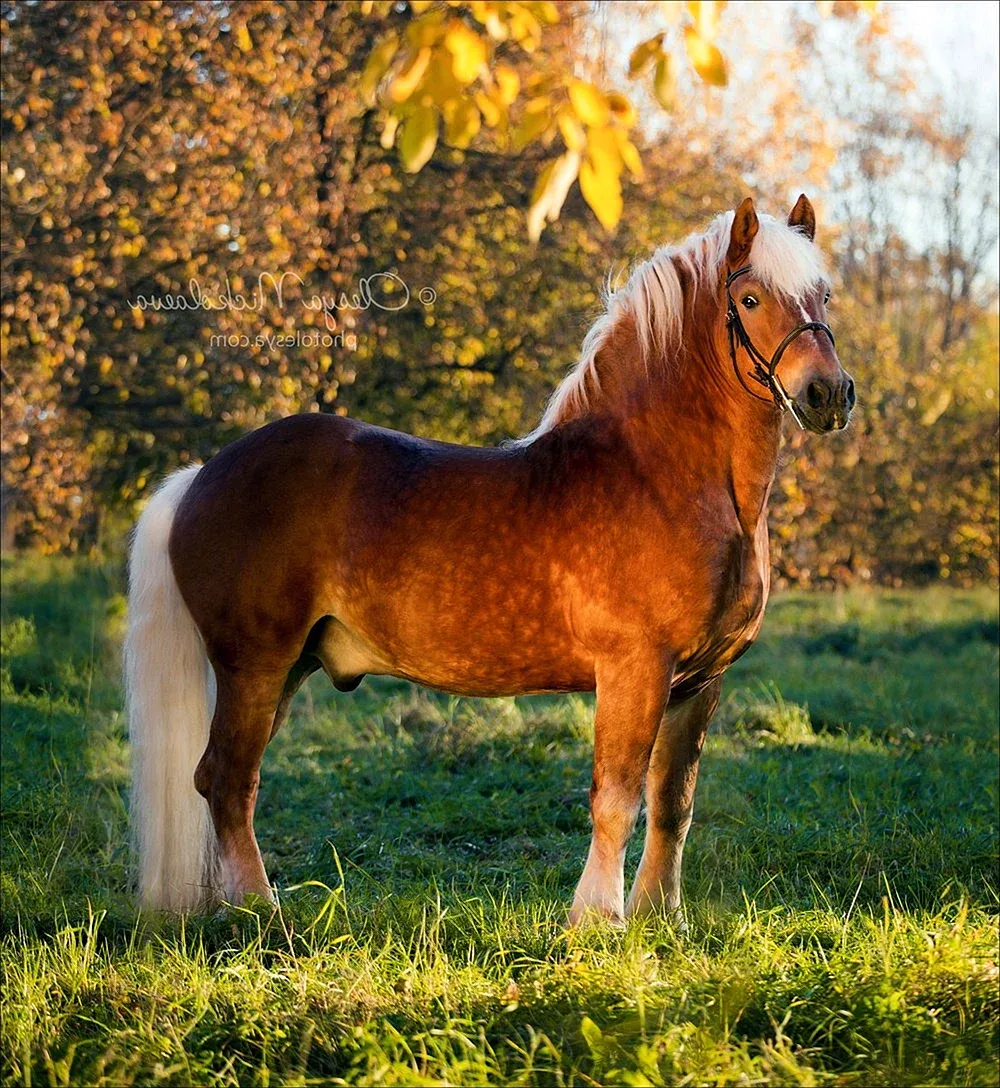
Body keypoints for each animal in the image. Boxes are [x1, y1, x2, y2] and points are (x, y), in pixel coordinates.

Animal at [125, 193, 857, 918]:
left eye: (823, 294)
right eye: (752, 299)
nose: (828, 394)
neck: (658, 473)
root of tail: (202, 475)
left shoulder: (699, 683)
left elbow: (671, 804)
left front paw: (660, 920)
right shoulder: (635, 670)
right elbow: (616, 798)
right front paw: (597, 920)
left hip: (287, 668)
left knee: (212, 778)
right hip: (255, 665)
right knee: (229, 780)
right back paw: (262, 913)